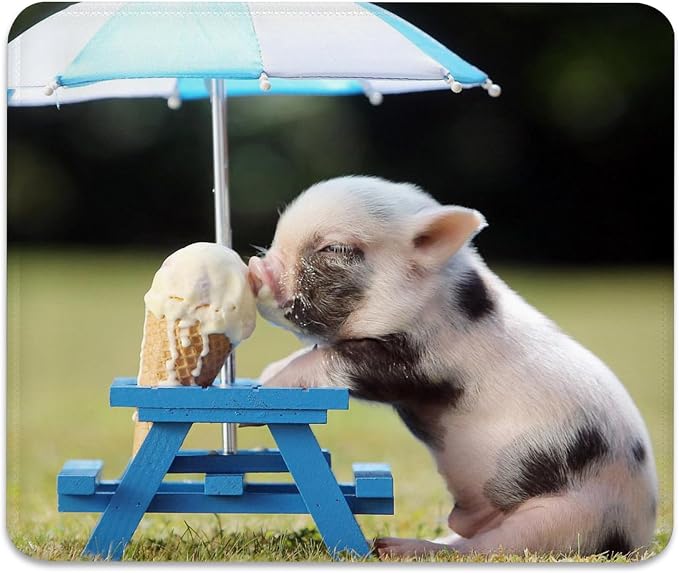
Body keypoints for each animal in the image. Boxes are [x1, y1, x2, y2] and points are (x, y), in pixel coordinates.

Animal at [247, 176, 657, 558]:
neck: (433, 299)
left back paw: (392, 547)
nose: (256, 268)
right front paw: (266, 373)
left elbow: (336, 358)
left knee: (488, 548)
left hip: (565, 518)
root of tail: (639, 533)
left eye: (336, 248)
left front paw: (266, 386)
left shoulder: (418, 361)